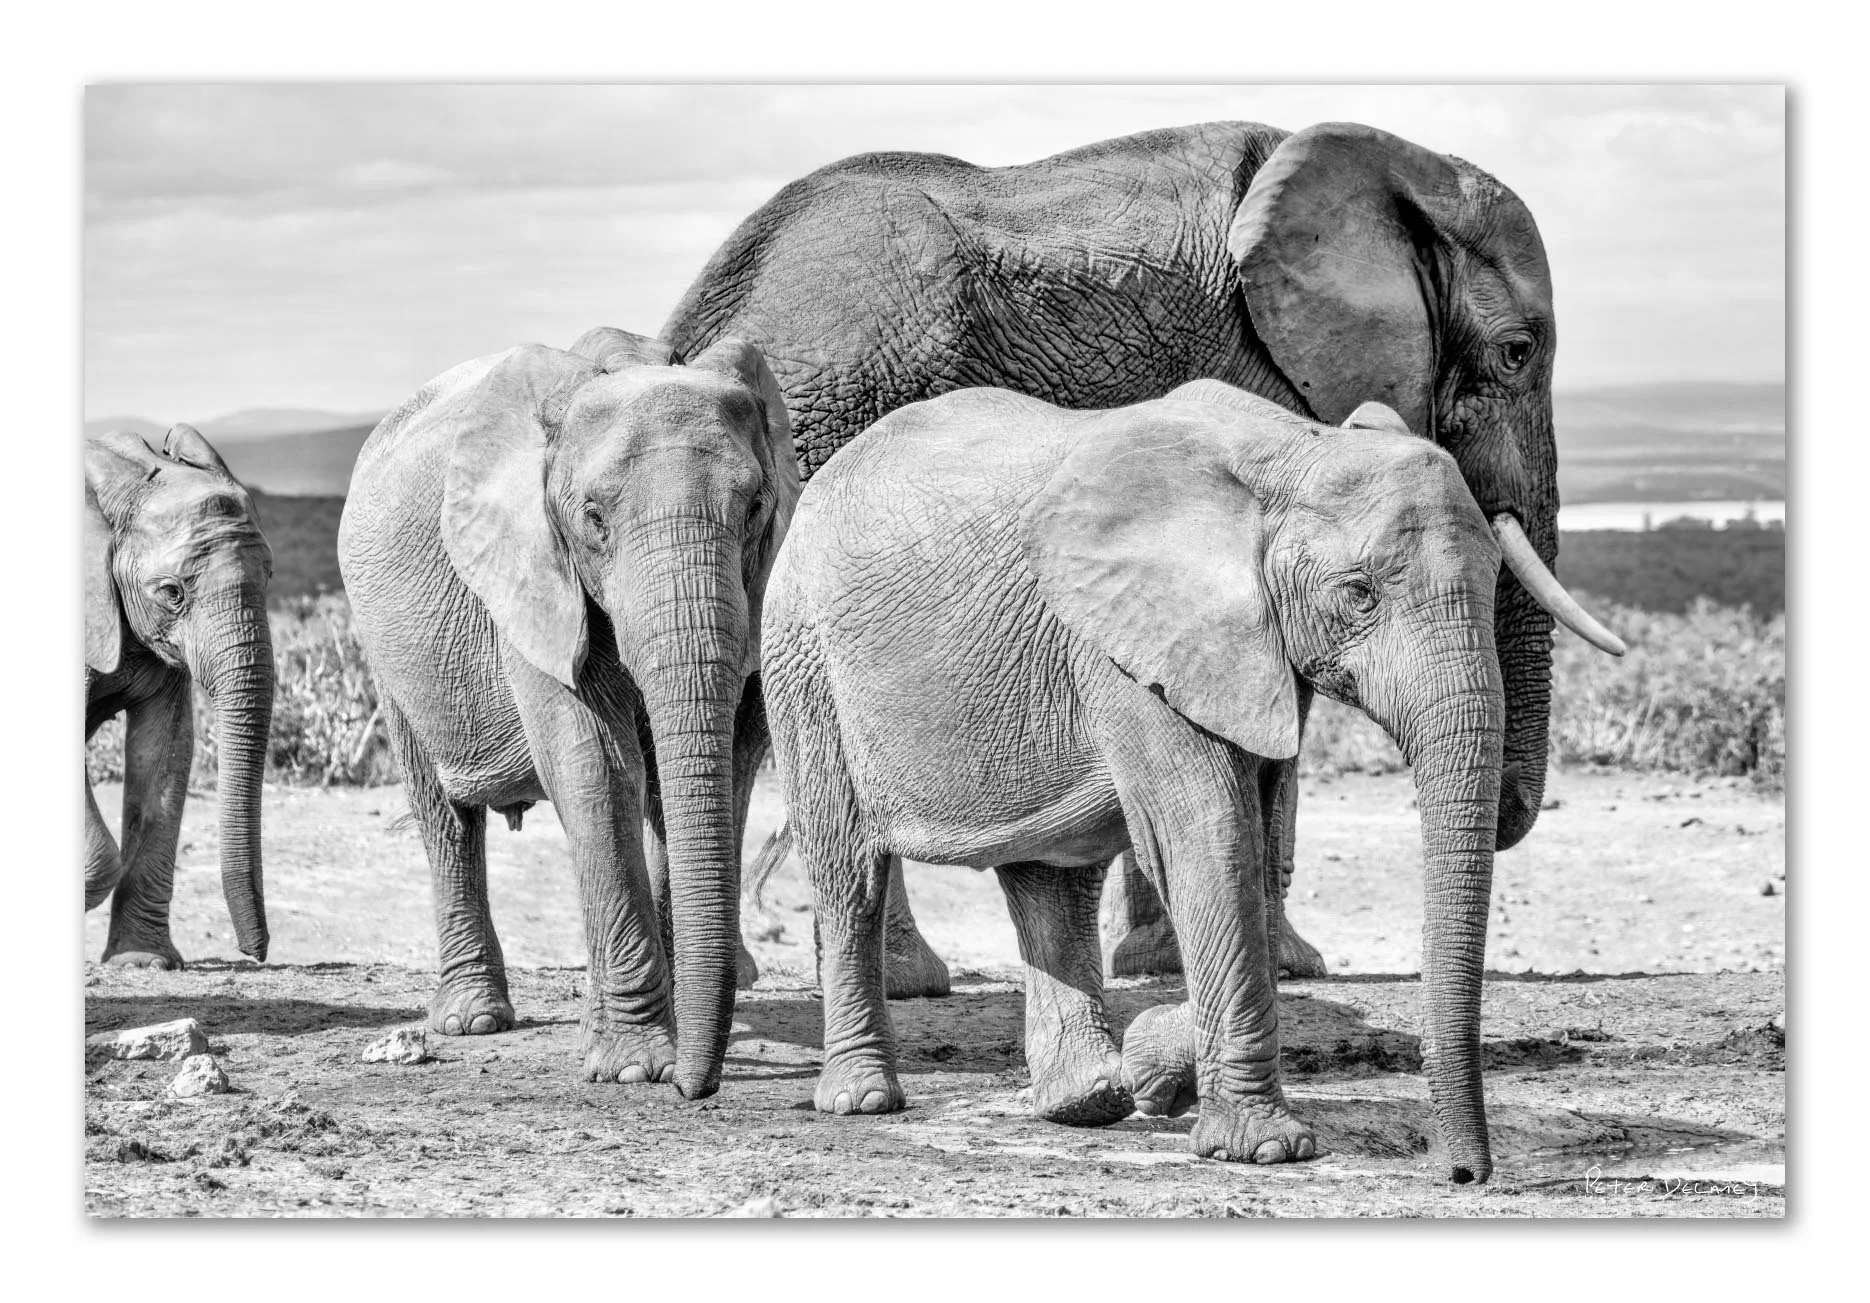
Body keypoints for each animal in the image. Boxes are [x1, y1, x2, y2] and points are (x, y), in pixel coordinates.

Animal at [337, 327, 798, 1098]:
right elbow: (596, 768)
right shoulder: (530, 569)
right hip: (385, 647)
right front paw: (637, 1067)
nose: (694, 1087)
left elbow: (718, 770)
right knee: (443, 815)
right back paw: (472, 1022)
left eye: (756, 508)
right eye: (594, 520)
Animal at [667, 118, 1622, 993]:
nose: (1510, 812)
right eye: (1518, 351)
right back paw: (905, 980)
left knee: (740, 706)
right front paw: (1279, 965)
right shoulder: (1262, 382)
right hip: (840, 417)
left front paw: (1166, 961)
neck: (1400, 169)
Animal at [763, 380, 1563, 1181]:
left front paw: (1153, 1066)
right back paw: (864, 1100)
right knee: (847, 872)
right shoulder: (1133, 646)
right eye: (1359, 592)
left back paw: (1088, 1099)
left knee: (1053, 881)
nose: (1463, 1174)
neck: (1295, 449)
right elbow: (1213, 842)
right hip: (803, 657)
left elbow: (1255, 848)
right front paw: (1264, 1148)